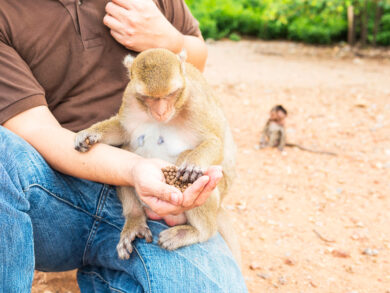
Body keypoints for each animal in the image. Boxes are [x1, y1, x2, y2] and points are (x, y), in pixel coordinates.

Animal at [72, 48, 239, 262]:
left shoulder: (196, 102)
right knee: (126, 150)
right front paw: (91, 133)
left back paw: (197, 232)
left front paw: (193, 162)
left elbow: (216, 142)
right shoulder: (130, 97)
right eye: (149, 97)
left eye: (170, 94)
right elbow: (123, 131)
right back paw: (135, 219)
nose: (160, 112)